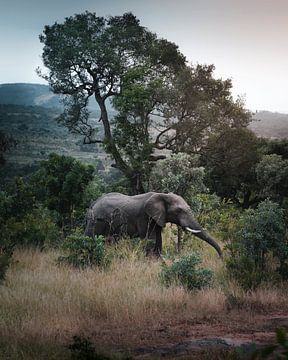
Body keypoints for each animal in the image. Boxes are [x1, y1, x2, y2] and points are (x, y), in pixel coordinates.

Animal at [84, 191, 222, 256]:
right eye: (178, 211)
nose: (221, 258)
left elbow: (158, 239)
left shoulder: (157, 218)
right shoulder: (145, 216)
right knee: (91, 237)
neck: (162, 195)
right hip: (96, 220)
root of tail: (93, 203)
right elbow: (150, 239)